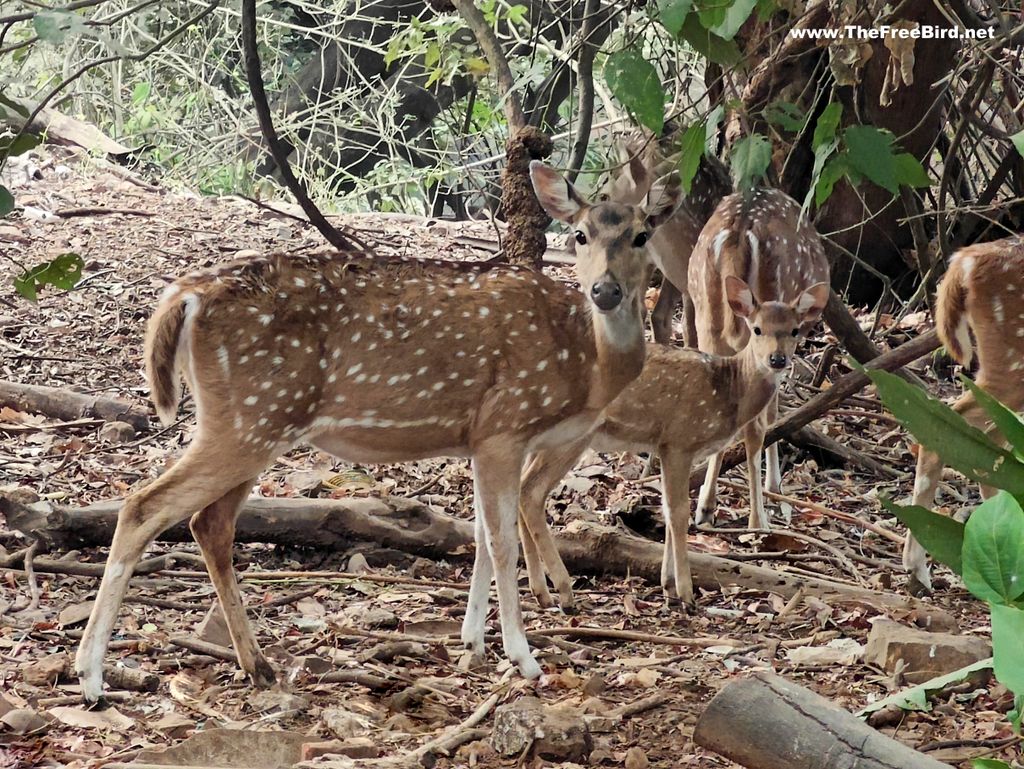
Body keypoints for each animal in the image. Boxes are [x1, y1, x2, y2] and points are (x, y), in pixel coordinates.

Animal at [72, 163, 679, 704]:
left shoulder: (480, 438)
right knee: (143, 506)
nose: (604, 290)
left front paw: (472, 644)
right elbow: (500, 541)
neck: (585, 363)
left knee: (208, 523)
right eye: (579, 235)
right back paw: (93, 677)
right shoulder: (503, 425)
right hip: (250, 417)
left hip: (253, 421)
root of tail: (185, 295)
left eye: (641, 235)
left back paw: (257, 664)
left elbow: (482, 536)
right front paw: (522, 657)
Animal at [516, 280, 827, 610]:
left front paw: (667, 585)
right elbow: (678, 513)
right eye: (756, 329)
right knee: (531, 492)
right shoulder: (680, 439)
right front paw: (686, 592)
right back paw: (564, 591)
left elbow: (665, 508)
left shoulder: (665, 444)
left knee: (520, 488)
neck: (729, 389)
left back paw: (541, 591)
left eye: (794, 330)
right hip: (573, 435)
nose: (777, 359)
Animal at [684, 189, 827, 532]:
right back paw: (757, 519)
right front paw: (775, 485)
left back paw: (706, 507)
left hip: (706, 316)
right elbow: (773, 413)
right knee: (755, 426)